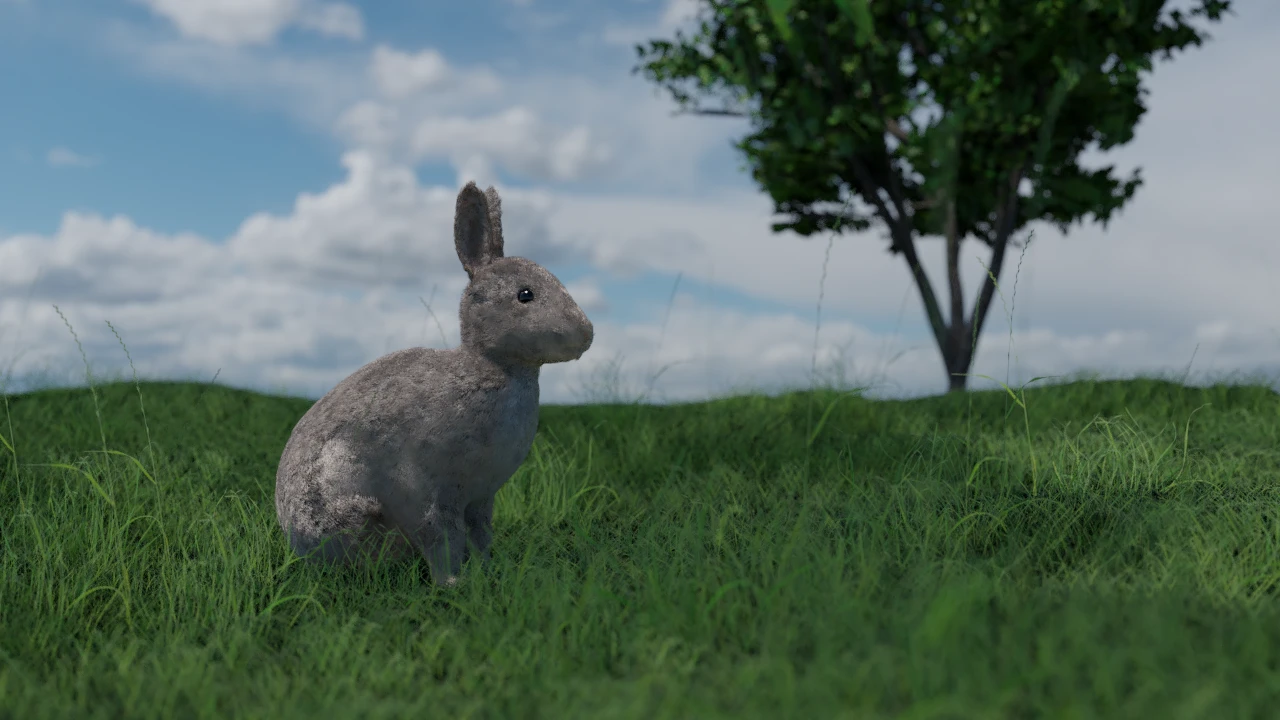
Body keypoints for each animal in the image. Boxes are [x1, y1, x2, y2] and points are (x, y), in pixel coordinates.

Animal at [274, 181, 594, 586]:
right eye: (525, 295)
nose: (587, 333)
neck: (493, 365)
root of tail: (293, 539)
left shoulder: (480, 498)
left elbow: (480, 534)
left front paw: (488, 572)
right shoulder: (426, 489)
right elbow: (442, 537)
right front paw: (454, 584)